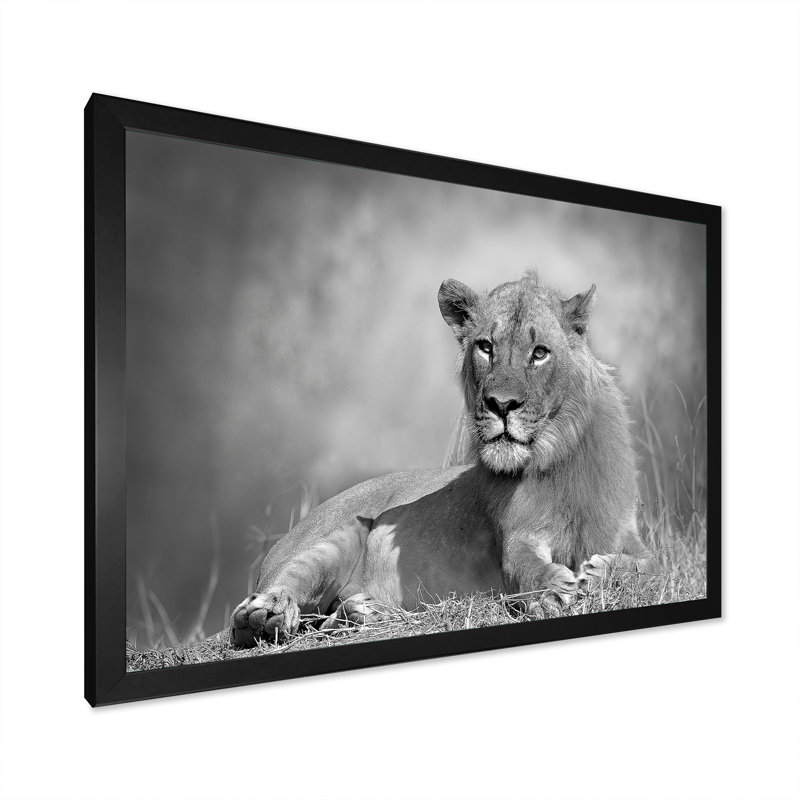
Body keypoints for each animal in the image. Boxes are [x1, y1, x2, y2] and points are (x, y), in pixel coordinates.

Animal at [230, 272, 653, 646]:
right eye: (486, 347)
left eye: (539, 354)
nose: (501, 404)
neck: (557, 455)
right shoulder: (515, 538)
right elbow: (526, 567)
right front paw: (553, 590)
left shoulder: (622, 530)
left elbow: (650, 566)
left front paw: (599, 572)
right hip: (338, 536)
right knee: (273, 601)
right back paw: (266, 615)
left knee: (326, 620)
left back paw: (362, 612)